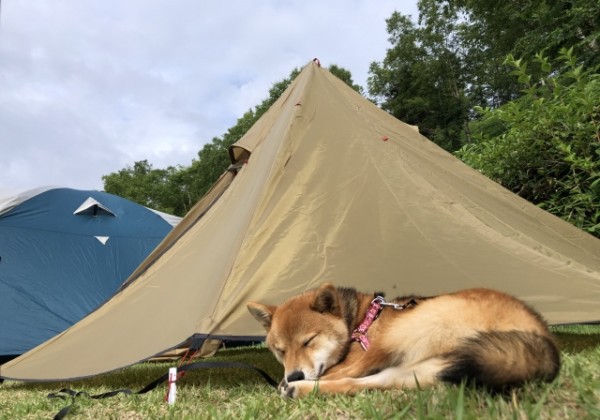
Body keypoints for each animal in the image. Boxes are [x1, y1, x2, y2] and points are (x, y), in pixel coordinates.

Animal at [246, 282, 560, 398]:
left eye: (308, 341)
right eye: (280, 350)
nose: (294, 373)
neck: (360, 321)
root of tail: (540, 336)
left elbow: (340, 369)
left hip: (401, 332)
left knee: (348, 375)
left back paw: (292, 386)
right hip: (422, 371)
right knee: (352, 383)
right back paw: (297, 388)